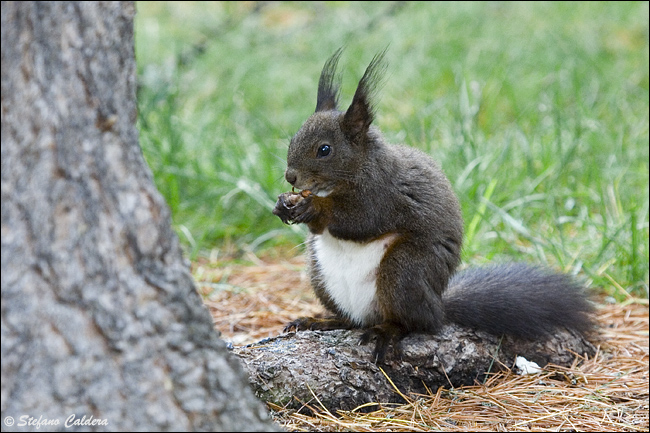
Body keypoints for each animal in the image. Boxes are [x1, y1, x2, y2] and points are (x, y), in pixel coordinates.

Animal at [270, 49, 592, 362]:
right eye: (293, 139)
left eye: (324, 150)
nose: (290, 176)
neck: (354, 171)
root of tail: (438, 306)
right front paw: (284, 205)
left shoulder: (383, 194)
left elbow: (360, 220)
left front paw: (312, 208)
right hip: (320, 275)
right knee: (352, 320)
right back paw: (323, 320)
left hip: (404, 272)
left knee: (415, 323)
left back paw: (386, 330)